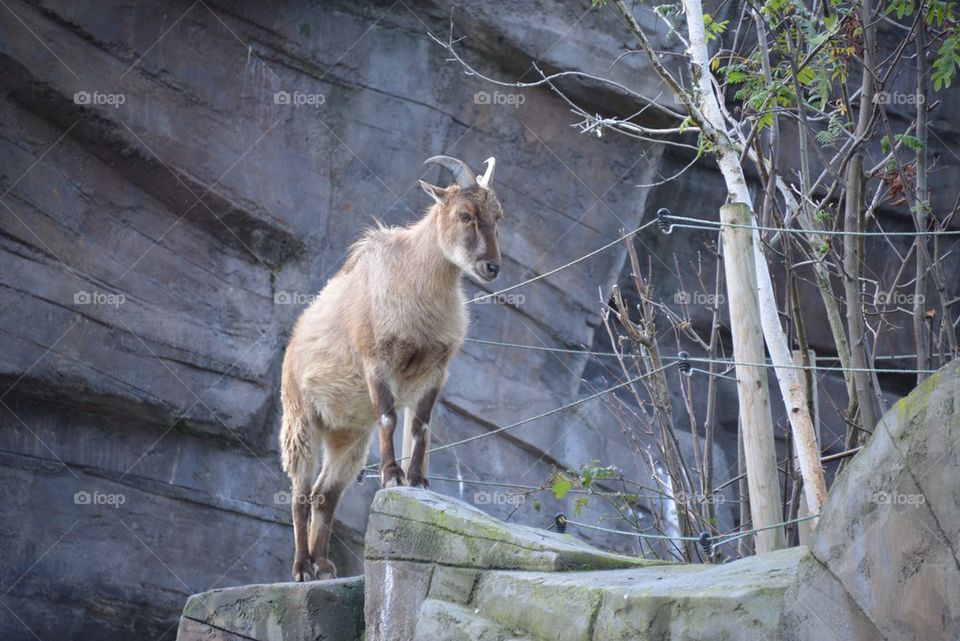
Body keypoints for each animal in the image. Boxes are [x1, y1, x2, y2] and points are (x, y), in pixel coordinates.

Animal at [279, 155, 503, 581]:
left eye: (498, 216)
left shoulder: (434, 371)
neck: (415, 280)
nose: (491, 267)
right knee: (299, 493)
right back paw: (300, 568)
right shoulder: (376, 361)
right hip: (300, 422)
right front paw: (391, 475)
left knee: (324, 494)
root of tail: (292, 346)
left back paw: (324, 565)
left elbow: (420, 426)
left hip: (348, 437)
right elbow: (388, 417)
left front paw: (419, 480)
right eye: (465, 214)